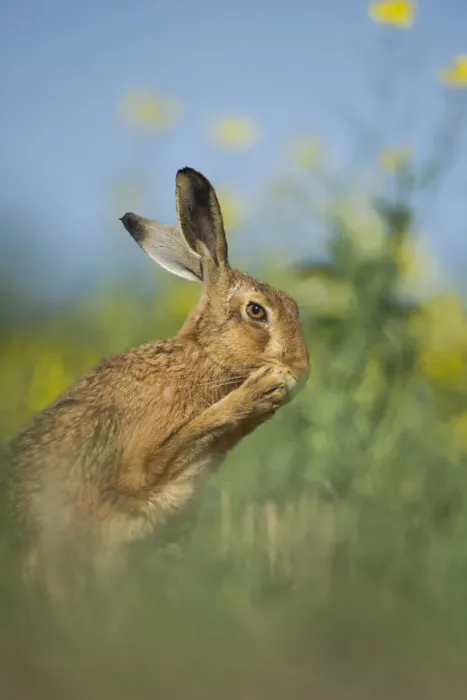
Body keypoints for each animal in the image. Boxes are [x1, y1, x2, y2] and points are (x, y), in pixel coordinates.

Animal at [1, 166, 309, 593]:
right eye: (256, 311)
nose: (301, 368)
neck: (203, 357)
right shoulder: (137, 464)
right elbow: (181, 439)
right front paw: (264, 388)